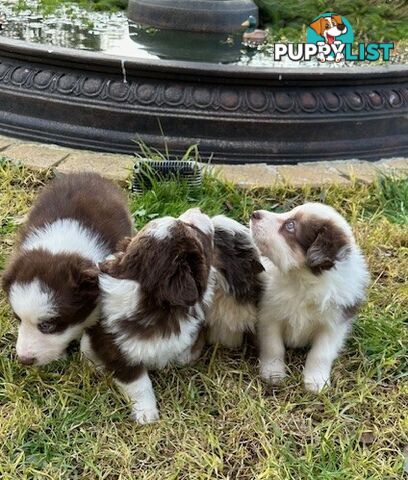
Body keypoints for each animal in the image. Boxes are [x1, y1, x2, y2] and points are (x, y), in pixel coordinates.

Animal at [79, 208, 214, 422]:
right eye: (191, 228)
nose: (198, 209)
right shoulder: (121, 355)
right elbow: (140, 384)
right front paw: (147, 416)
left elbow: (185, 352)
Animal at [249, 202, 370, 394]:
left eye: (290, 226)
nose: (254, 214)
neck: (302, 280)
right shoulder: (268, 315)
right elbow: (273, 346)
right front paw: (273, 374)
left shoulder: (333, 325)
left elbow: (321, 353)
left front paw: (316, 382)